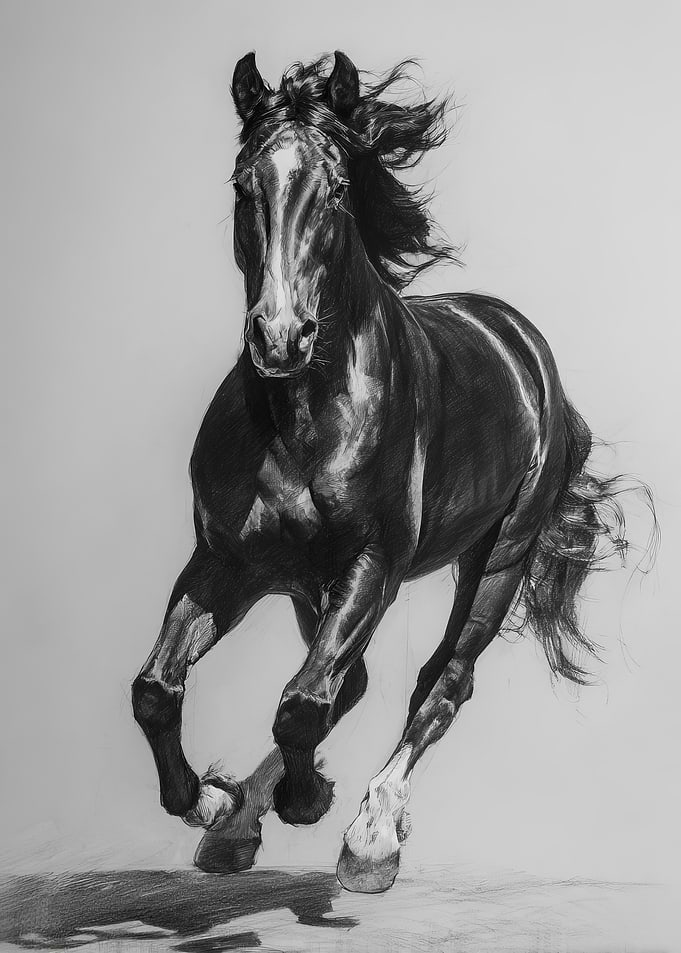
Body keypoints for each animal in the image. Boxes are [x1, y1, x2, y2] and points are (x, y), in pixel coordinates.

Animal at [132, 51, 645, 894]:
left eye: (337, 187)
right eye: (243, 184)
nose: (279, 336)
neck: (303, 417)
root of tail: (522, 346)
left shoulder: (370, 565)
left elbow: (303, 702)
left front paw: (307, 804)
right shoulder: (224, 563)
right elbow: (157, 688)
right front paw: (207, 798)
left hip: (497, 557)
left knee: (438, 682)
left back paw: (369, 837)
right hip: (309, 588)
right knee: (356, 682)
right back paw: (238, 824)